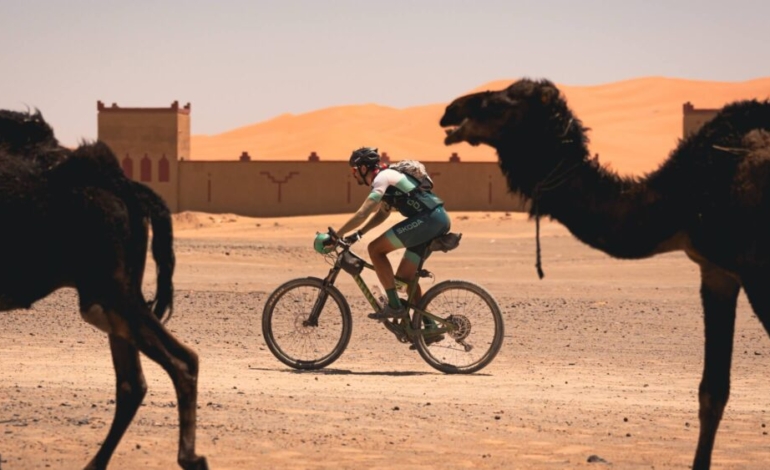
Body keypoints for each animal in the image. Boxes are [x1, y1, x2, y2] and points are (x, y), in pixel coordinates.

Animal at [0, 108, 207, 468]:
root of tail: (126, 186)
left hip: (111, 291)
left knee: (182, 361)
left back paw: (190, 458)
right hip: (109, 299)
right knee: (132, 383)